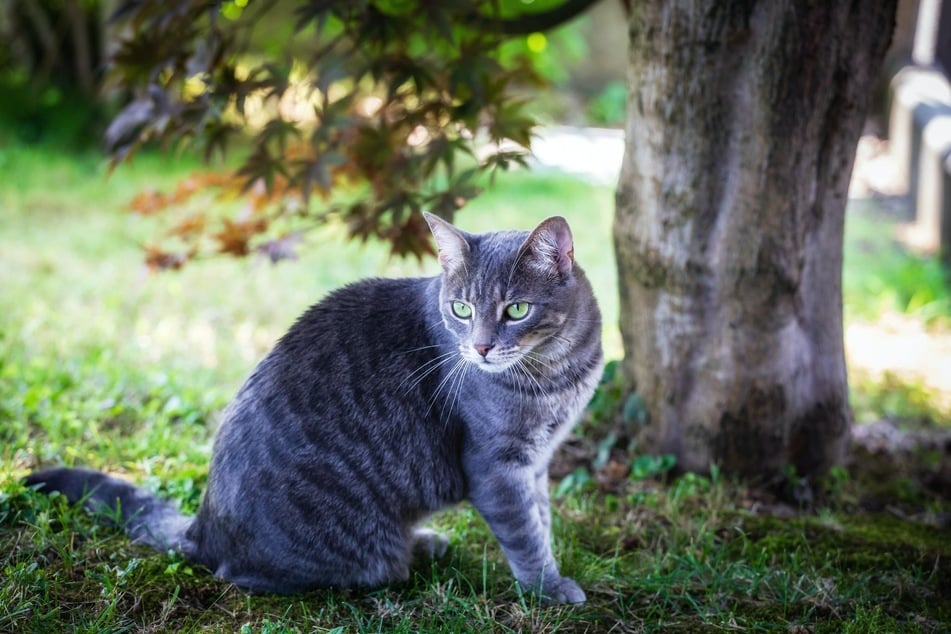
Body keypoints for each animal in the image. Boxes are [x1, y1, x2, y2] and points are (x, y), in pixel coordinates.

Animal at [26, 214, 608, 604]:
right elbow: (524, 532)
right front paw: (548, 588)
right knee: (253, 575)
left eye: (517, 309)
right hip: (352, 548)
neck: (558, 373)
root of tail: (203, 527)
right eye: (461, 310)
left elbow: (541, 518)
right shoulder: (497, 467)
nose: (482, 347)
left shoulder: (537, 460)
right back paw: (408, 556)